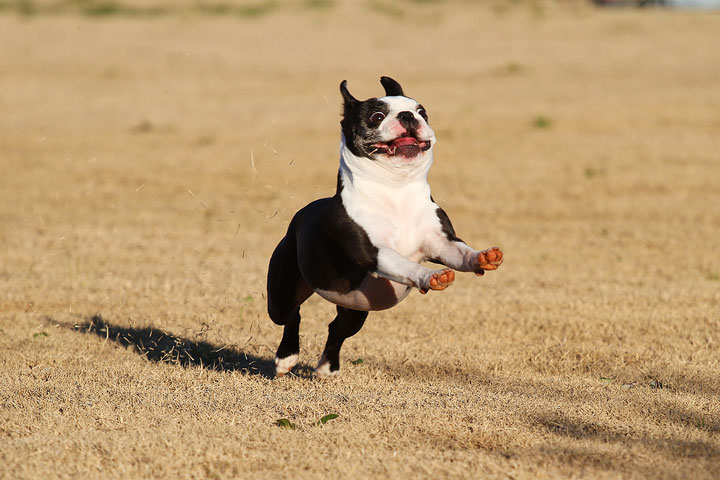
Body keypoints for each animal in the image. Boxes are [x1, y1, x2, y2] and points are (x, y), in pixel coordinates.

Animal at [268, 76, 504, 378]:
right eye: (376, 116)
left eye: (422, 111)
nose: (407, 116)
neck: (396, 189)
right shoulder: (374, 252)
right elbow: (406, 265)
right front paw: (430, 276)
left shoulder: (441, 241)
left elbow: (461, 252)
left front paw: (483, 257)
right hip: (282, 291)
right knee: (292, 314)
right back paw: (286, 358)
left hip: (355, 308)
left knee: (338, 328)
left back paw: (326, 368)